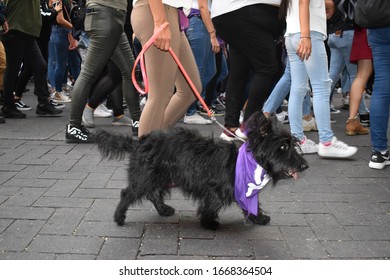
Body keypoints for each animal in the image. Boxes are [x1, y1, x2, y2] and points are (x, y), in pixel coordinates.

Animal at [94, 111, 308, 230]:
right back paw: (119, 217)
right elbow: (211, 205)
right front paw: (208, 223)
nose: (304, 166)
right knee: (128, 193)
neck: (249, 160)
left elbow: (251, 205)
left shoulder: (244, 191)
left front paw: (258, 217)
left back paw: (163, 209)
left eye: (293, 144)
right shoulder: (215, 189)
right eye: (282, 147)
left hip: (160, 176)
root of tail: (141, 141)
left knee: (153, 194)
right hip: (145, 176)